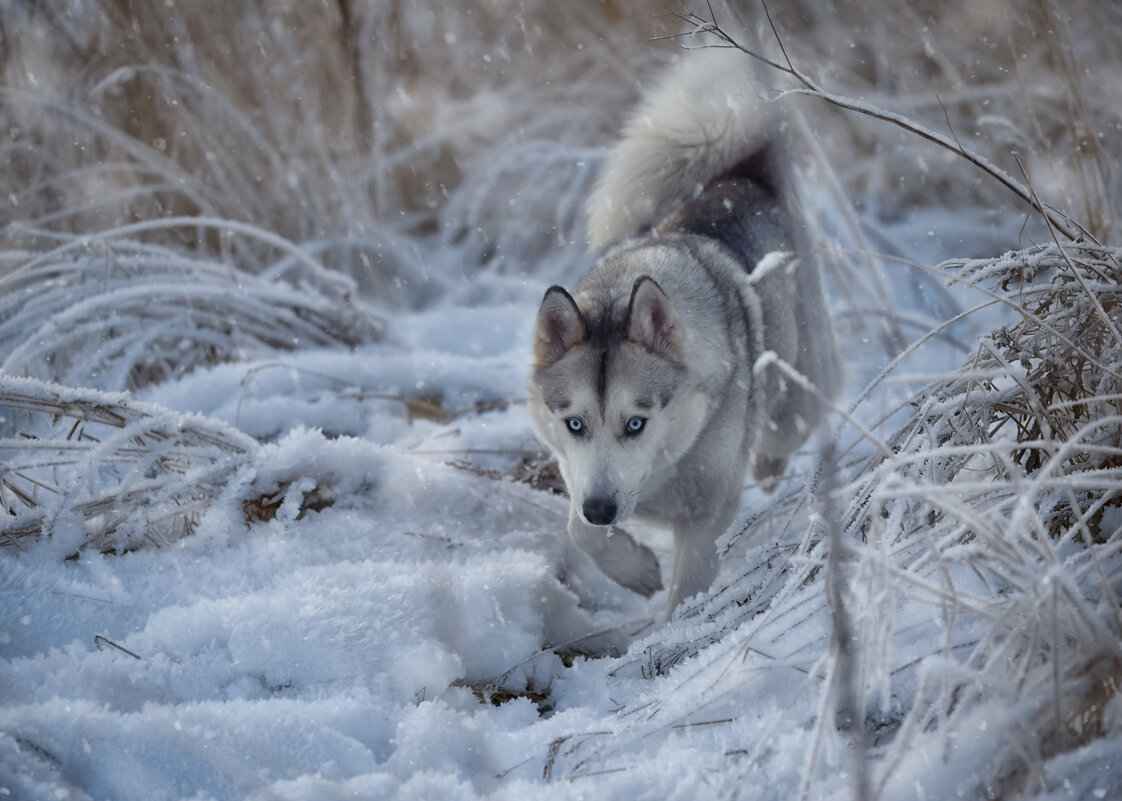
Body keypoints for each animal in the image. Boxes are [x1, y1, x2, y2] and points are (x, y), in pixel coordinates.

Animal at [529, 49, 839, 614]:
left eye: (636, 423)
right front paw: (633, 569)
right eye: (574, 423)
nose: (603, 509)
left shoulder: (704, 517)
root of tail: (743, 175)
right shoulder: (575, 473)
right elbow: (576, 530)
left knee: (788, 426)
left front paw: (678, 624)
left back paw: (769, 464)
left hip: (800, 388)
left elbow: (688, 591)